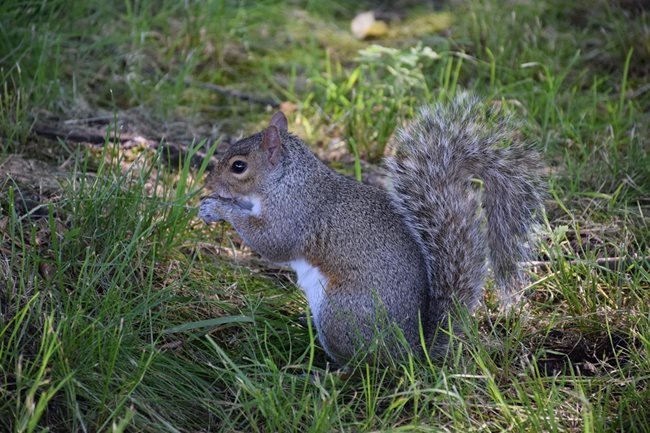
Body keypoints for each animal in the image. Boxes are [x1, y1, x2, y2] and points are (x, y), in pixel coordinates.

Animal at [199, 94, 540, 364]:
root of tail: (411, 351)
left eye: (239, 166)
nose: (208, 182)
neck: (285, 180)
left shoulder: (294, 215)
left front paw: (218, 208)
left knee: (364, 365)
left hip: (340, 314)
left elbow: (271, 242)